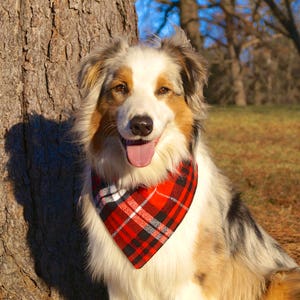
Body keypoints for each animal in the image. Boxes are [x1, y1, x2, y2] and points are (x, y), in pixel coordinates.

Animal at [74, 29, 298, 298]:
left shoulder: (189, 279)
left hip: (281, 279)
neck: (144, 181)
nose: (141, 125)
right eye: (121, 88)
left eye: (163, 90)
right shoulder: (120, 282)